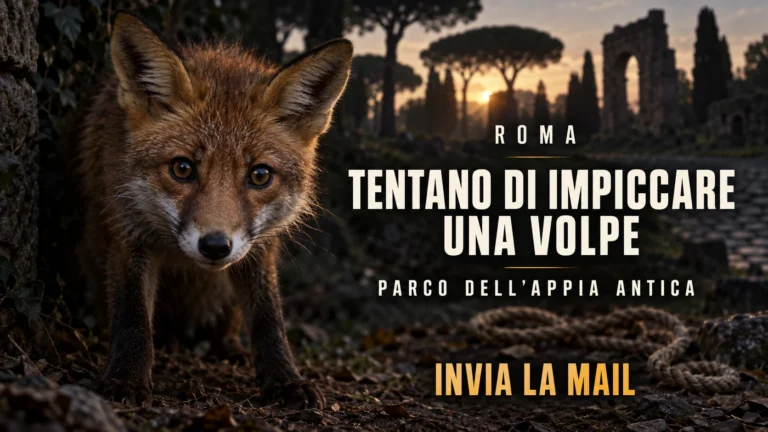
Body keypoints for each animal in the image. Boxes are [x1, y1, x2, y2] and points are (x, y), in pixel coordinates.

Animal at [73, 12, 352, 408]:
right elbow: (132, 315)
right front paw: (126, 377)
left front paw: (285, 379)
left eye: (260, 175)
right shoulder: (129, 233)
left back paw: (230, 346)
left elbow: (269, 318)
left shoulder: (260, 248)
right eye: (182, 168)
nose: (215, 246)